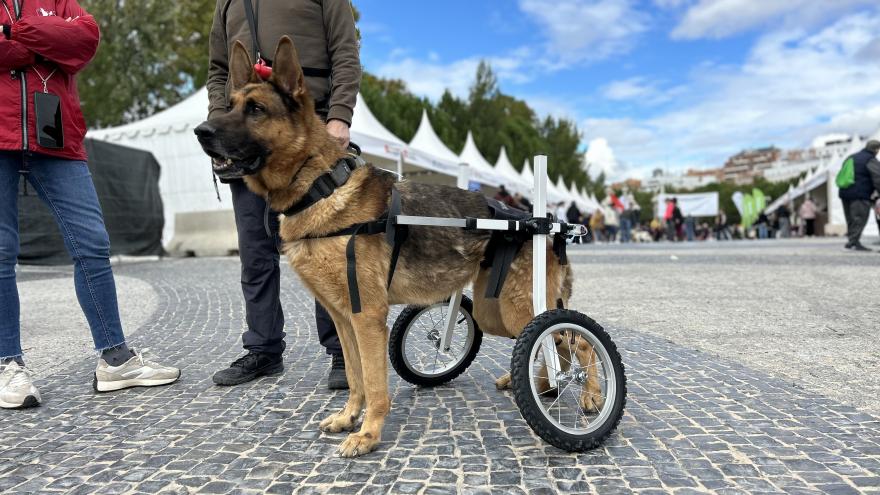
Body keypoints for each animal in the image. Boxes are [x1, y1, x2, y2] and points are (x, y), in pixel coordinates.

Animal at [195, 37, 600, 458]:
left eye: (256, 110)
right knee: (553, 348)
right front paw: (349, 417)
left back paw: (587, 395)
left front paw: (369, 434)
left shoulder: (367, 316)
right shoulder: (343, 318)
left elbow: (375, 383)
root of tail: (546, 223)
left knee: (574, 343)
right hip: (496, 311)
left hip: (521, 309)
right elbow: (354, 376)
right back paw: (542, 386)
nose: (200, 131)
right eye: (229, 106)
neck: (321, 186)